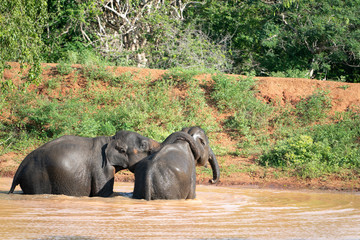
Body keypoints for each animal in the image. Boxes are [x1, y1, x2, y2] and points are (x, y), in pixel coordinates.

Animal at [7, 131, 160, 197]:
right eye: (143, 145)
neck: (110, 139)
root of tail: (20, 167)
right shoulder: (101, 169)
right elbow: (103, 193)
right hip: (36, 178)